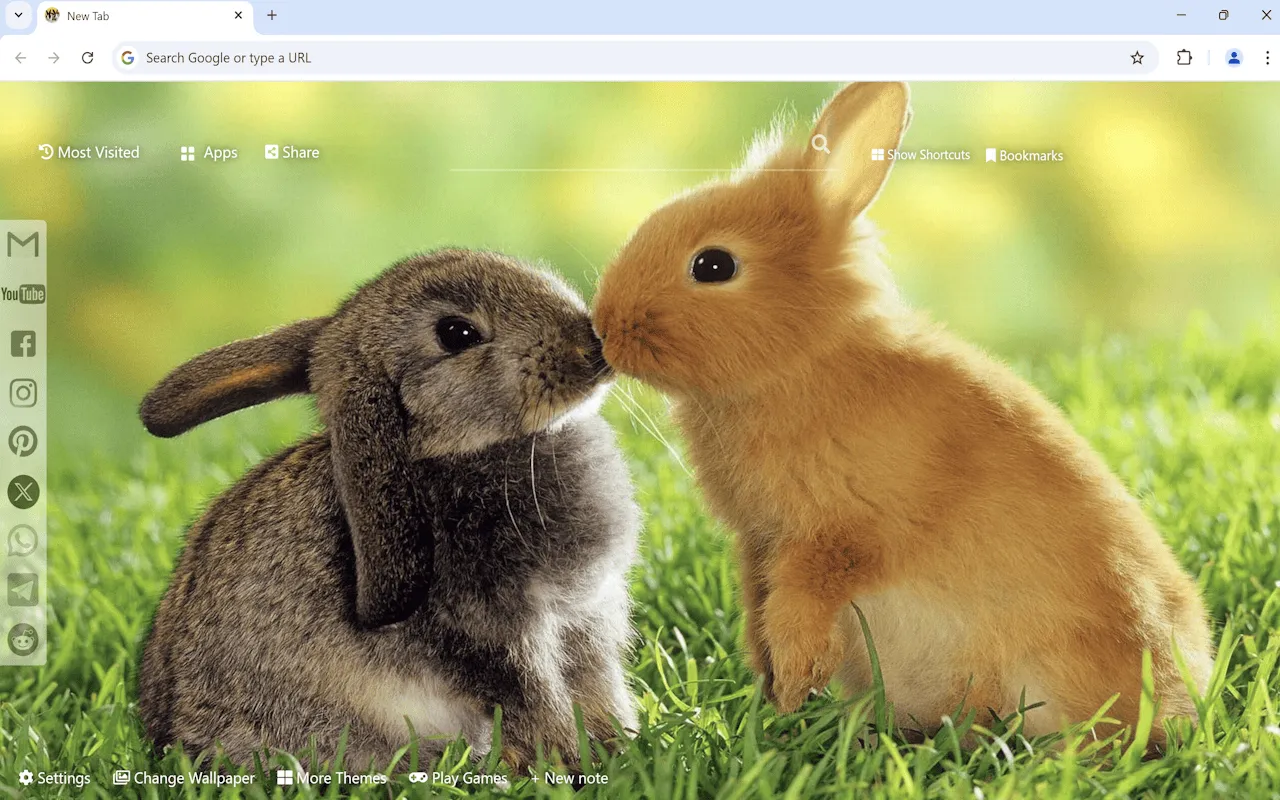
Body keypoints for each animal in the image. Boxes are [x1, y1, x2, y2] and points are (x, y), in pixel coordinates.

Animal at [137, 249, 641, 772]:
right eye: (457, 334)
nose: (591, 348)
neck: (450, 451)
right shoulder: (494, 633)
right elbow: (537, 700)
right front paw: (572, 762)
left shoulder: (587, 619)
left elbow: (597, 690)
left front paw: (620, 748)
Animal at [591, 82, 1214, 748]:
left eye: (713, 265)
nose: (604, 329)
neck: (804, 361)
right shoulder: (758, 546)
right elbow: (759, 614)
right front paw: (772, 694)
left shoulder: (837, 539)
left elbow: (800, 609)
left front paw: (792, 690)